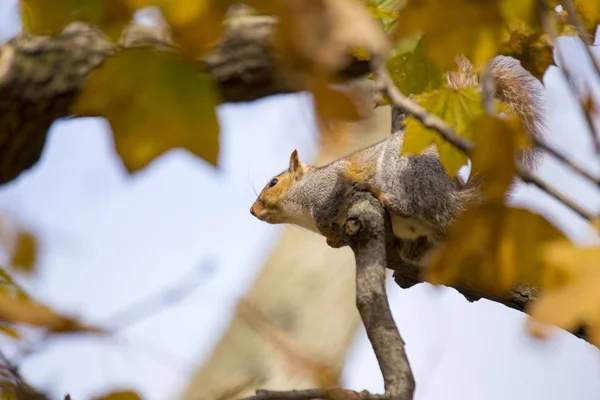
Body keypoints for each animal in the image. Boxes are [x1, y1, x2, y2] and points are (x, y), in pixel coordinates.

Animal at [248, 54, 548, 266]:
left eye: (273, 182)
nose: (252, 211)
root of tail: (454, 200)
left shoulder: (329, 183)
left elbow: (329, 203)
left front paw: (327, 227)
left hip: (401, 170)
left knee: (408, 203)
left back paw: (384, 197)